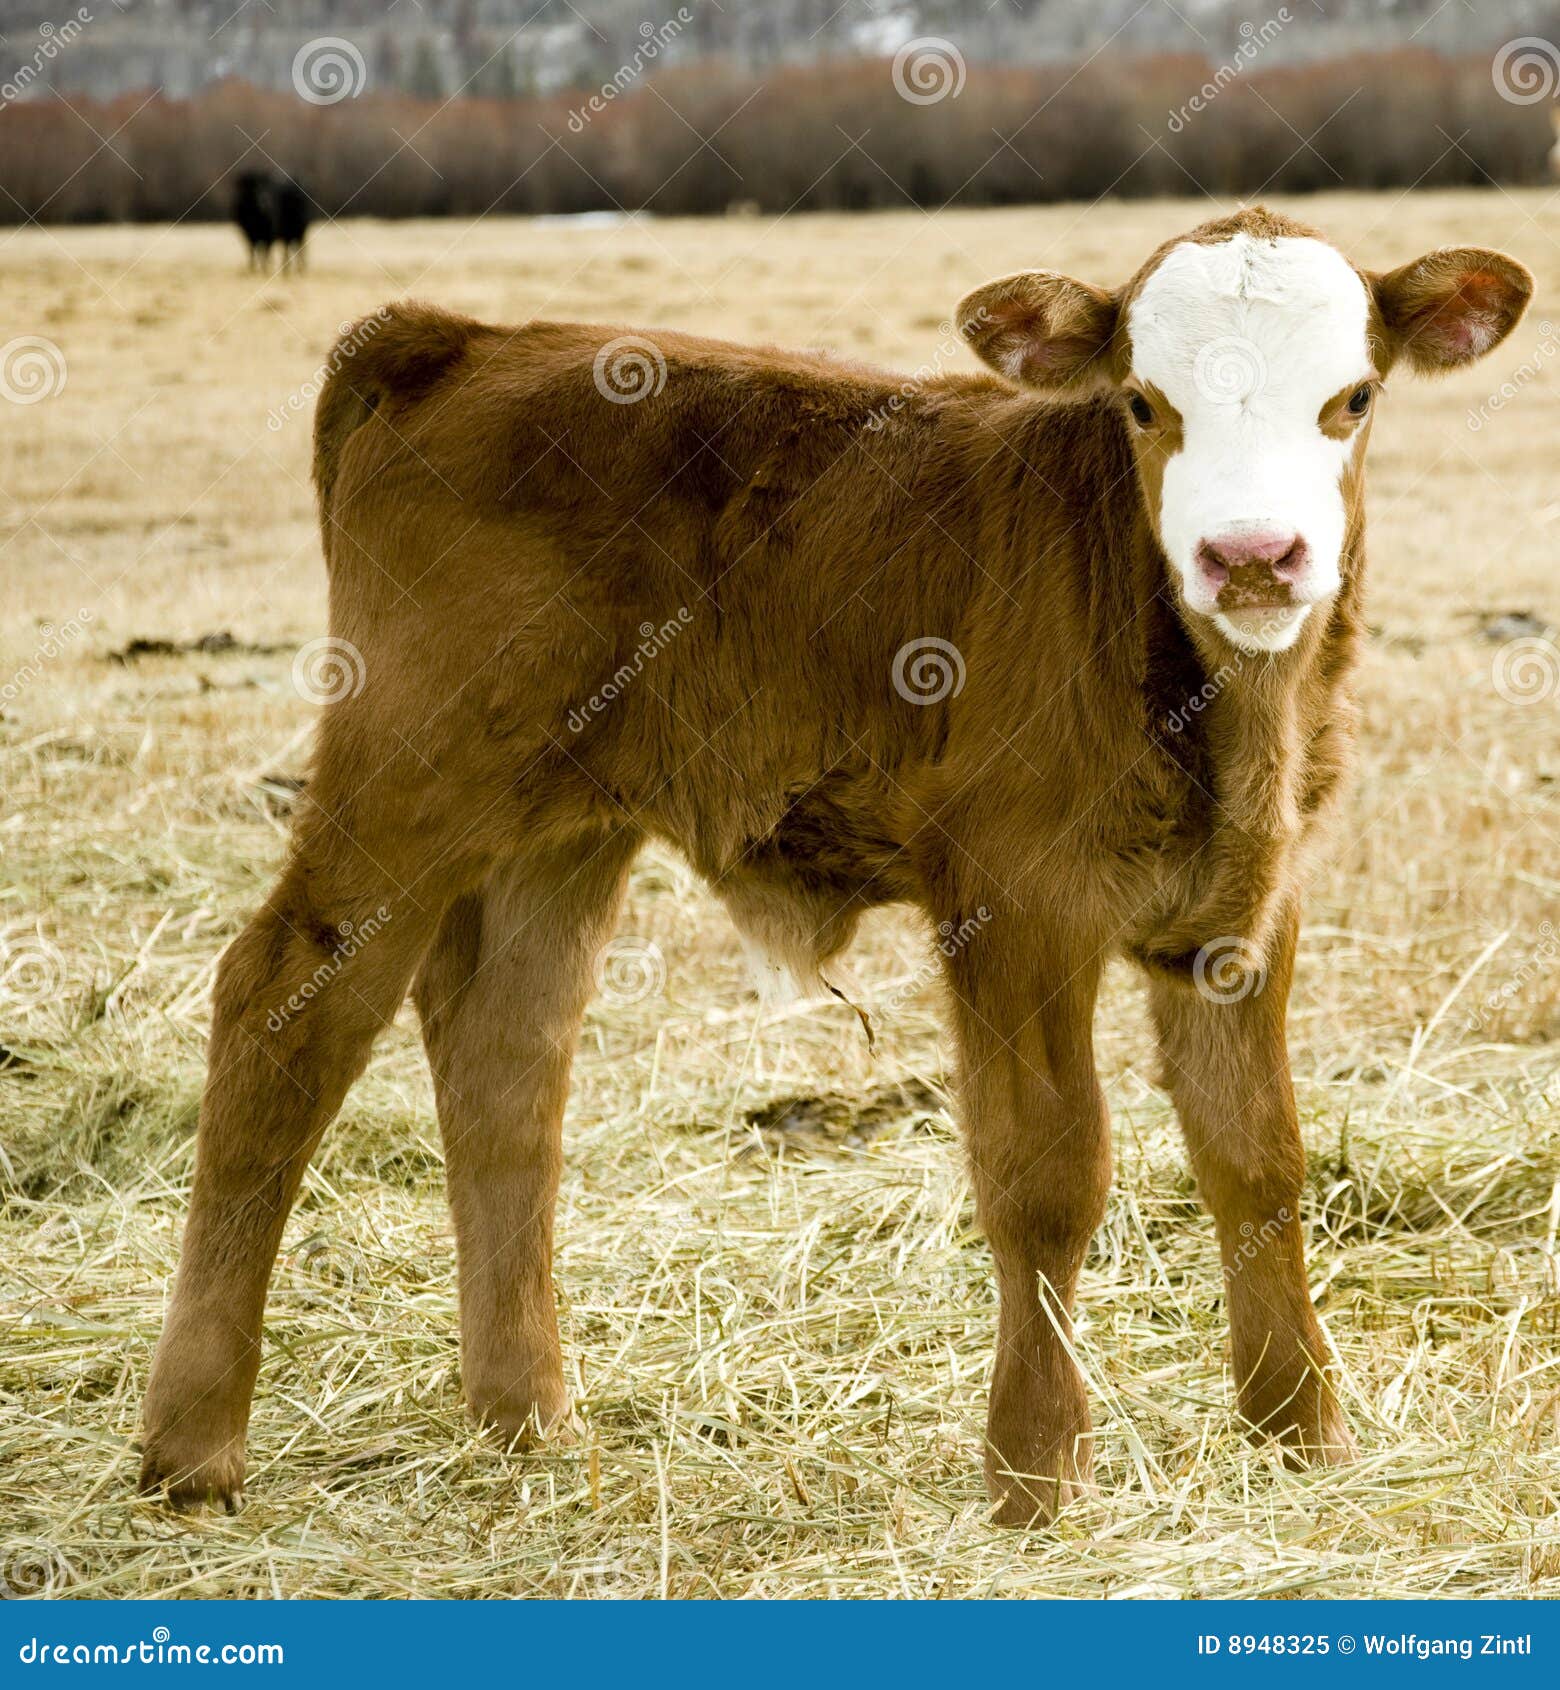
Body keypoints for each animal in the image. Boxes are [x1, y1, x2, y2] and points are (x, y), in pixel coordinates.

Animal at [139, 207, 1531, 1523]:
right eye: (1144, 402)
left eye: (1353, 397)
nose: (1250, 557)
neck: (1221, 712)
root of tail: (461, 339)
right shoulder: (1013, 897)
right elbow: (1047, 1172)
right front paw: (1036, 1473)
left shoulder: (1245, 904)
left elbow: (1260, 1158)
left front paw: (1301, 1431)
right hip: (406, 776)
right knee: (280, 1008)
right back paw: (191, 1449)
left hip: (565, 825)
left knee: (506, 1055)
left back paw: (527, 1417)